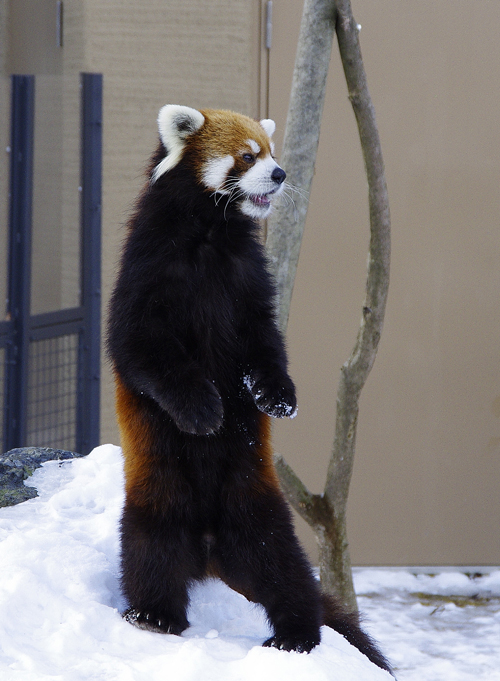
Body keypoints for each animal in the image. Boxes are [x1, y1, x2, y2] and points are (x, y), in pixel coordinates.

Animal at [107, 106, 392, 676]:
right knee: (152, 547)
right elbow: (140, 350)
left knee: (282, 565)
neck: (210, 235)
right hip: (158, 487)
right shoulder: (146, 270)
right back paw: (154, 615)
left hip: (255, 502)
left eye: (272, 152)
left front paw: (278, 397)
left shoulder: (249, 282)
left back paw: (296, 634)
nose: (280, 175)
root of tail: (210, 549)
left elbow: (265, 345)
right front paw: (202, 410)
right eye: (246, 155)